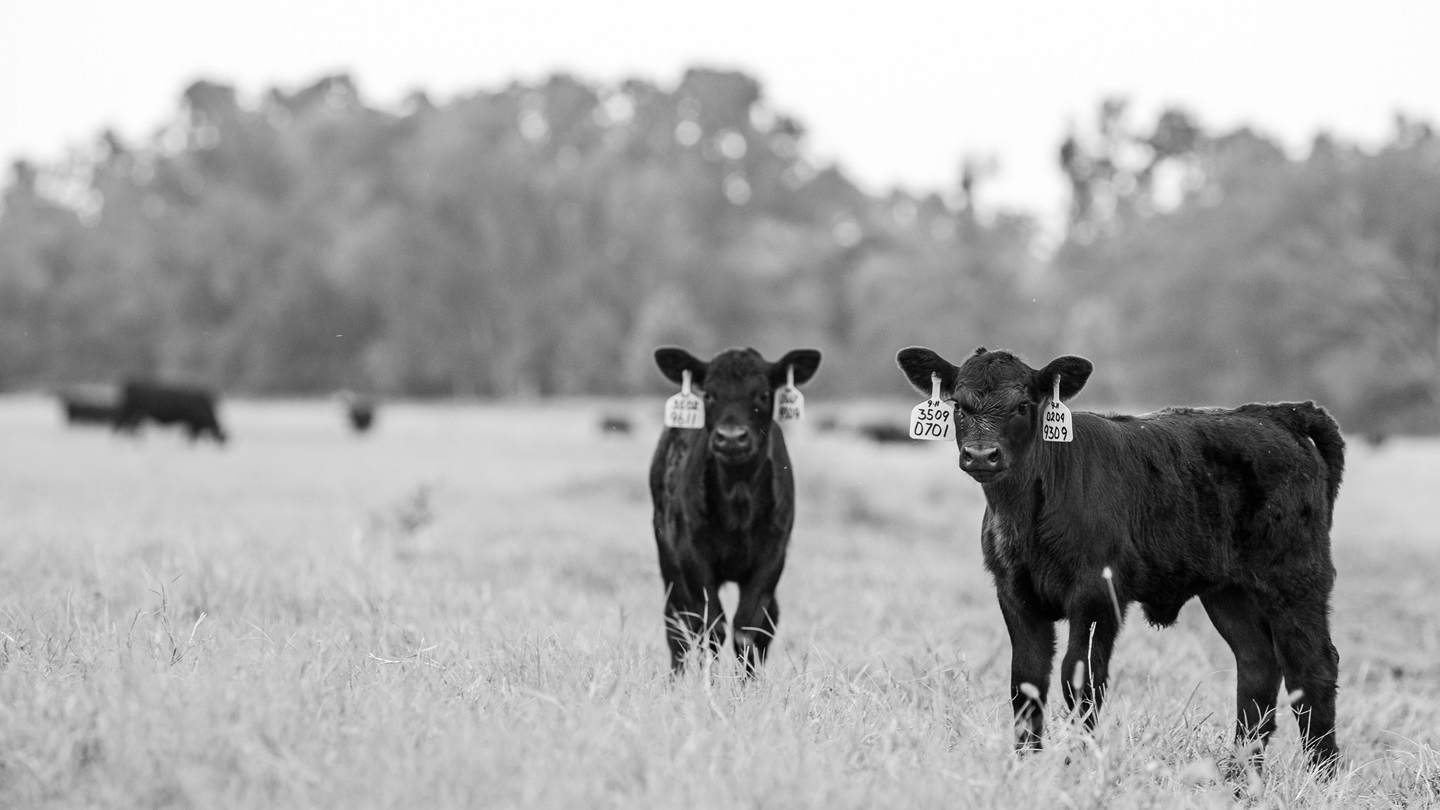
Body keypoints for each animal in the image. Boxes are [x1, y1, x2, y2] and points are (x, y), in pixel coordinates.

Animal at [650, 346, 821, 675]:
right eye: (708, 394)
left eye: (764, 394)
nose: (731, 437)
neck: (738, 499)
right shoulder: (692, 554)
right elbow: (712, 627)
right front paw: (712, 683)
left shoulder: (772, 554)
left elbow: (748, 629)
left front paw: (746, 686)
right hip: (668, 560)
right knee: (677, 626)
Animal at [895, 346, 1344, 775]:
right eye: (958, 405)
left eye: (1023, 405)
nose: (981, 455)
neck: (1026, 515)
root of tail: (1276, 413)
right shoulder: (1014, 593)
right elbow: (1026, 682)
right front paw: (1025, 768)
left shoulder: (1097, 593)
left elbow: (1079, 679)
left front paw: (1076, 769)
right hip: (1230, 592)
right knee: (1257, 667)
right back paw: (1240, 777)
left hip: (1295, 578)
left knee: (1313, 667)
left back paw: (1321, 775)